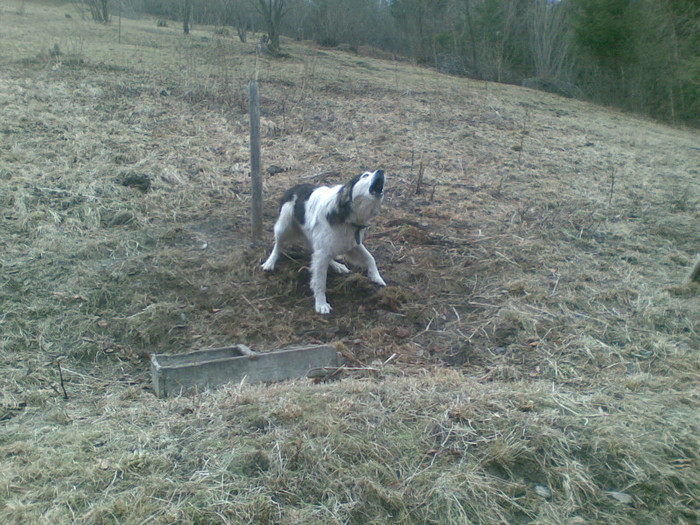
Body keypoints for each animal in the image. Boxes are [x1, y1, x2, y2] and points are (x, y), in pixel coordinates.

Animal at [262, 170, 386, 314]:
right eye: (365, 175)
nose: (381, 171)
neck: (345, 214)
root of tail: (294, 187)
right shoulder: (324, 251)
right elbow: (320, 281)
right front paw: (321, 304)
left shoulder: (352, 243)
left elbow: (370, 258)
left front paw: (376, 277)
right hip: (284, 226)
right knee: (278, 245)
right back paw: (270, 262)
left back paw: (337, 266)